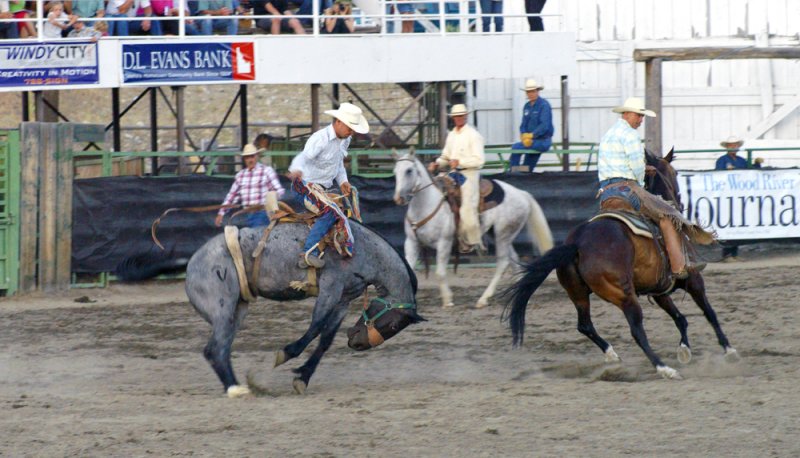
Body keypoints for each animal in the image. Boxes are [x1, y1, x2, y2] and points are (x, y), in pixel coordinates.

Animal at [118, 220, 424, 396]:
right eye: (391, 323)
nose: (358, 344)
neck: (362, 248)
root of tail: (192, 260)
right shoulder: (330, 288)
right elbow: (315, 327)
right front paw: (285, 355)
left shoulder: (343, 299)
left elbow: (325, 340)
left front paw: (303, 377)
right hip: (223, 309)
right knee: (214, 349)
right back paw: (235, 389)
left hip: (236, 312)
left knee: (220, 349)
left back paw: (238, 385)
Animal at [390, 150, 552, 308]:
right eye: (395, 171)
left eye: (409, 170)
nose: (399, 198)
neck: (427, 205)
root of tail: (522, 194)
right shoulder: (411, 242)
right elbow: (407, 268)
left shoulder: (444, 242)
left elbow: (440, 273)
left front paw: (448, 300)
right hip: (501, 235)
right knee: (513, 260)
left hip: (503, 234)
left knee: (503, 262)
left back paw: (483, 299)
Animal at [504, 150, 740, 380]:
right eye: (673, 172)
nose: (680, 202)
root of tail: (577, 243)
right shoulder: (693, 280)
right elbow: (709, 312)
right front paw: (729, 350)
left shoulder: (659, 291)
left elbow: (680, 318)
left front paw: (684, 349)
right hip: (624, 294)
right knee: (636, 331)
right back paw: (664, 369)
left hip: (578, 293)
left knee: (585, 325)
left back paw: (613, 356)